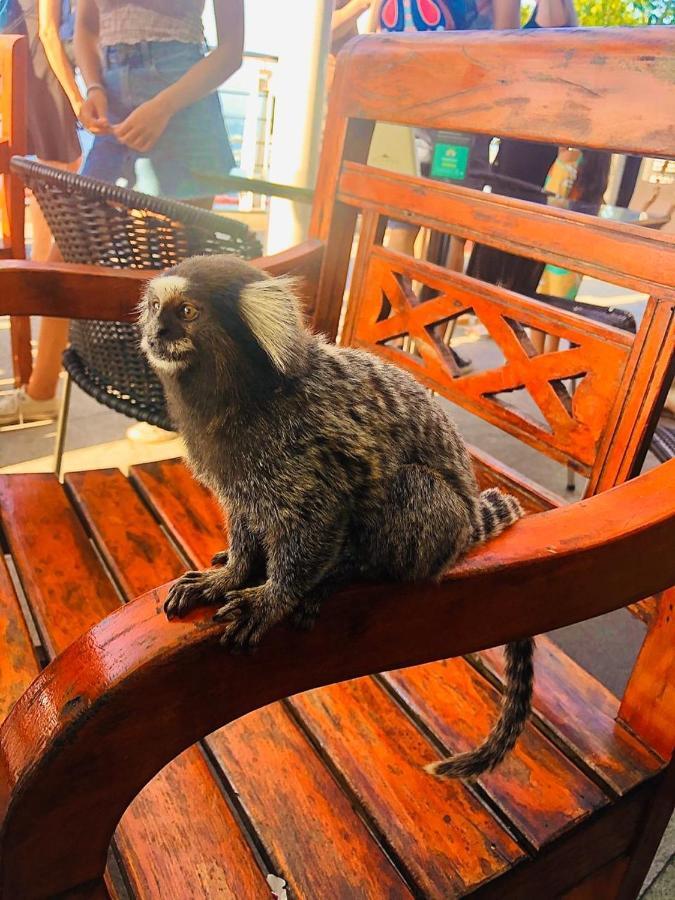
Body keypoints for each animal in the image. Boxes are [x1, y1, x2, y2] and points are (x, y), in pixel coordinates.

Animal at [140, 256, 532, 776]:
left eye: (186, 311)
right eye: (154, 307)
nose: (157, 331)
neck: (243, 395)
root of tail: (468, 521)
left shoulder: (301, 452)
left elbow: (318, 519)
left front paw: (272, 598)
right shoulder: (238, 478)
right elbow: (244, 518)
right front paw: (230, 575)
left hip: (436, 523)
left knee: (409, 489)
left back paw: (343, 574)